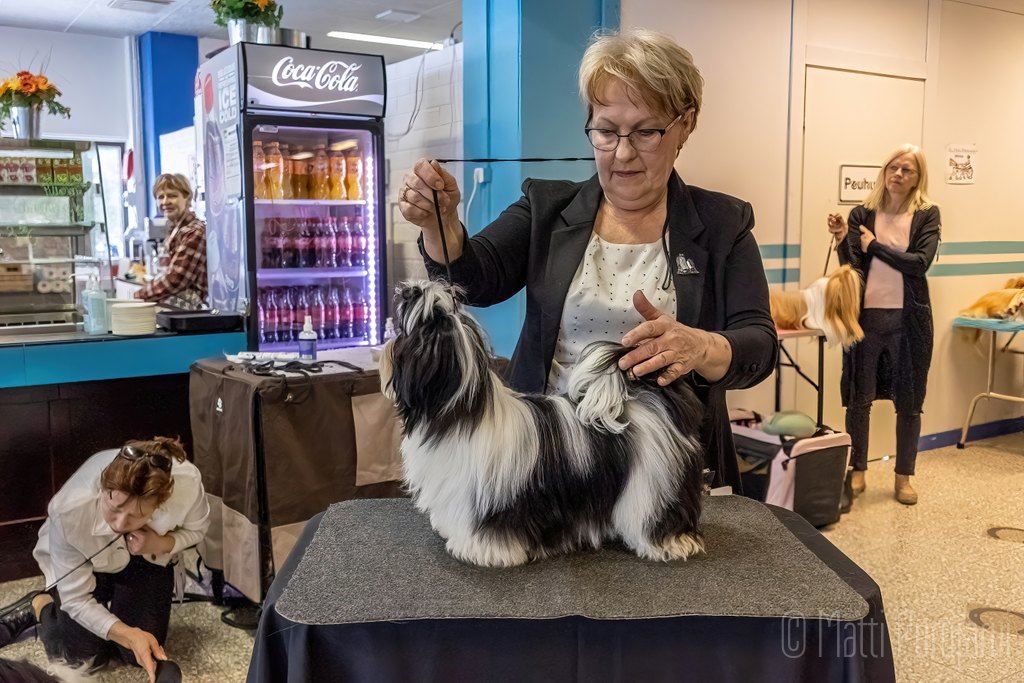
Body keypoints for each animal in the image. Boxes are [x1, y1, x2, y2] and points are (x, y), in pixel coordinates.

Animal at [379, 280, 706, 568]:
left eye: (410, 326)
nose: (407, 290)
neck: (462, 410)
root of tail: (653, 400)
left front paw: (484, 551)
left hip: (654, 485)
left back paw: (670, 543)